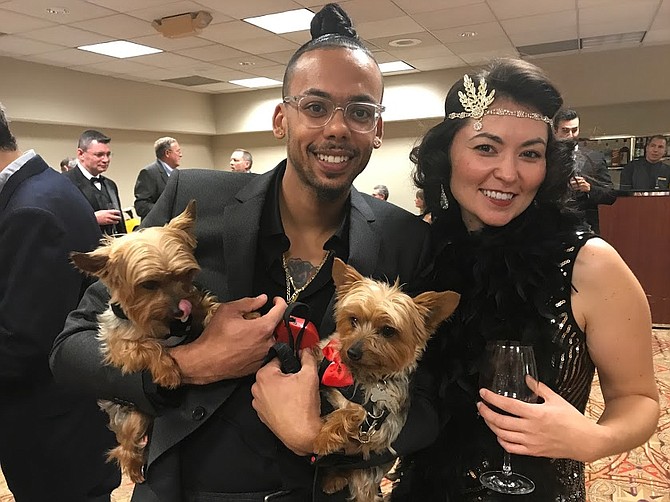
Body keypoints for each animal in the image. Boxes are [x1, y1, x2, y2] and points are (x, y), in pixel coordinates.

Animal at [71, 200, 218, 482]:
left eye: (186, 275)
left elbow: (205, 305)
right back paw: (134, 469)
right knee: (124, 448)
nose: (181, 309)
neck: (167, 325)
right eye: (149, 284)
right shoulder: (119, 347)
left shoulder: (193, 305)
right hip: (134, 418)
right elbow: (148, 346)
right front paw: (168, 371)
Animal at [316, 258, 462, 502]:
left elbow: (355, 412)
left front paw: (326, 437)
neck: (365, 377)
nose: (352, 352)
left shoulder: (386, 425)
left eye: (387, 331)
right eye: (353, 320)